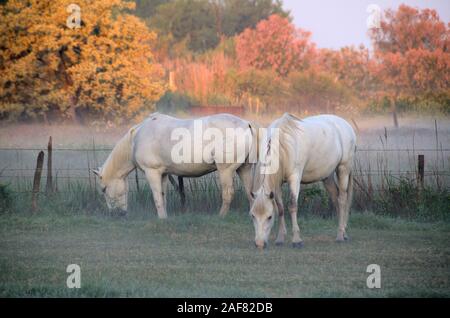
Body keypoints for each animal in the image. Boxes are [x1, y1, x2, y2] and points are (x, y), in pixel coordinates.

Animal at [93, 112, 258, 219]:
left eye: (104, 189)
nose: (116, 214)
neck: (136, 138)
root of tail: (246, 124)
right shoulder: (164, 174)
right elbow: (163, 196)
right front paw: (165, 217)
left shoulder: (152, 172)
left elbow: (157, 198)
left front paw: (161, 218)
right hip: (244, 169)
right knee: (250, 194)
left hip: (226, 170)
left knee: (228, 194)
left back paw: (221, 216)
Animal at [250, 113, 356, 250]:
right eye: (253, 215)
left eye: (269, 217)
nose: (260, 244)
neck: (282, 143)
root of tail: (346, 125)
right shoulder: (277, 184)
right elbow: (280, 208)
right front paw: (280, 238)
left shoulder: (294, 178)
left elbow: (292, 205)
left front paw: (297, 240)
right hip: (327, 177)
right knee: (336, 199)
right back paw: (344, 233)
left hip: (343, 169)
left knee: (342, 199)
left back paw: (340, 236)